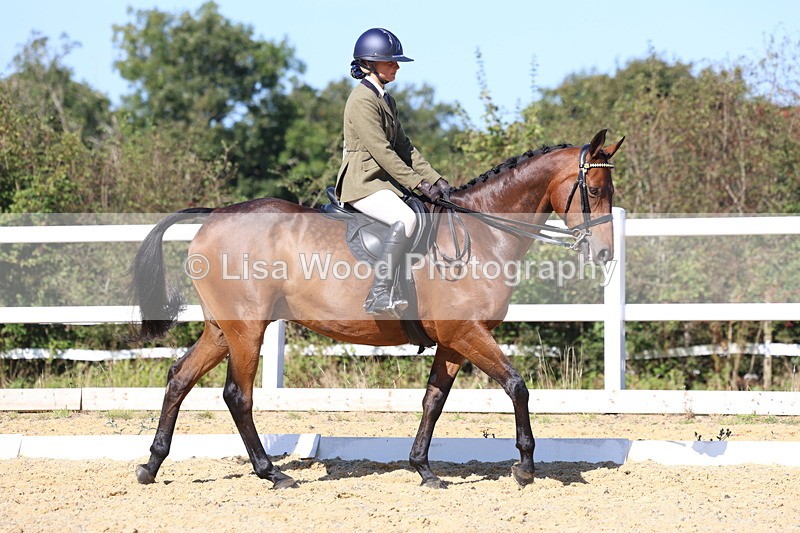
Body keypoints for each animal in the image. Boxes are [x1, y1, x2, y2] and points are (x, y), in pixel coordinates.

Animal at [128, 129, 624, 489]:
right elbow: (517, 386)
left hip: (222, 329)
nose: (603, 253)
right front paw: (524, 467)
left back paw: (151, 466)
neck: (484, 234)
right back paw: (273, 473)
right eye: (596, 189)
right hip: (247, 328)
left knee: (179, 378)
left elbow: (433, 401)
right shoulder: (467, 332)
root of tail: (215, 215)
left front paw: (423, 469)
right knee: (238, 395)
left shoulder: (453, 341)